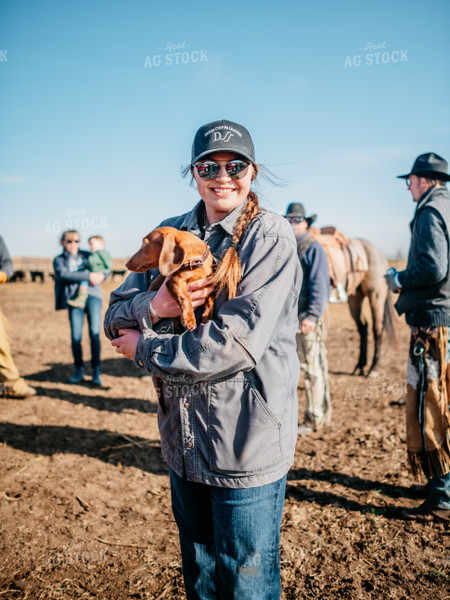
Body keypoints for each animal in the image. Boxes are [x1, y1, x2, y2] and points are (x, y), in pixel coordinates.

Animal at [310, 227, 398, 378]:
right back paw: (360, 366)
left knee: (377, 329)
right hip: (354, 298)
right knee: (363, 327)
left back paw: (373, 368)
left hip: (376, 296)